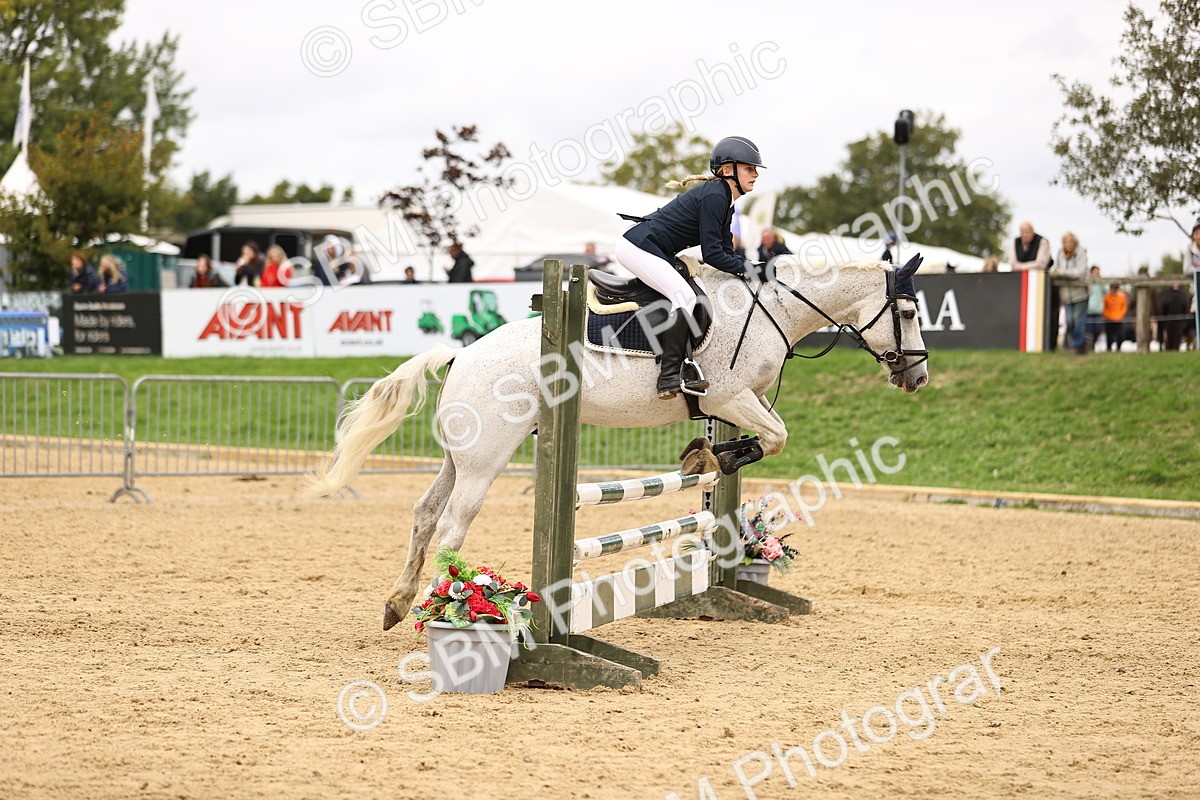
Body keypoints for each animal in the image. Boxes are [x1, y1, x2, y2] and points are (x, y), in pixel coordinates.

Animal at [314, 254, 930, 629]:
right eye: (905, 311)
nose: (918, 378)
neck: (771, 312)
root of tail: (462, 353)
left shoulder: (734, 403)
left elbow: (760, 442)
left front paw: (706, 455)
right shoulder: (729, 396)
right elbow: (776, 438)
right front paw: (712, 454)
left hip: (457, 455)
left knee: (424, 514)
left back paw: (398, 604)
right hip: (487, 457)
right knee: (452, 525)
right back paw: (446, 607)